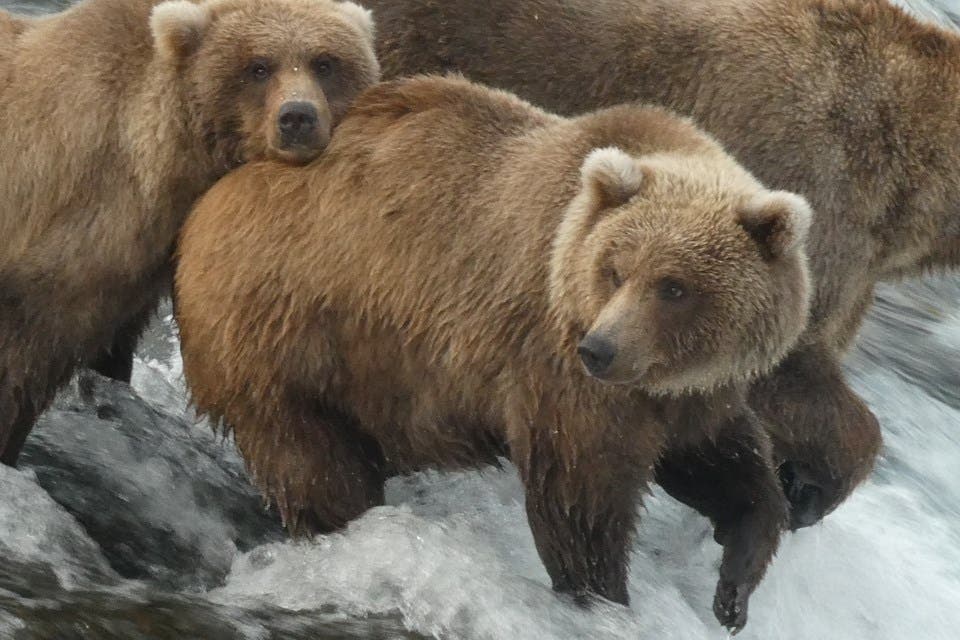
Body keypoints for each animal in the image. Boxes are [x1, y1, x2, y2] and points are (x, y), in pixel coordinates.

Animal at [0, 0, 380, 467]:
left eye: (325, 62)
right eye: (258, 66)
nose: (297, 117)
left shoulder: (136, 264)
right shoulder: (63, 229)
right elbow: (26, 361)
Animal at [175, 75, 813, 630]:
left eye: (674, 286)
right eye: (615, 270)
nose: (600, 350)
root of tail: (208, 205)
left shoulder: (688, 393)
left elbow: (723, 464)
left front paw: (735, 586)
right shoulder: (561, 372)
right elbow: (581, 499)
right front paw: (603, 599)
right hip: (286, 340)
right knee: (314, 465)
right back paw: (344, 535)